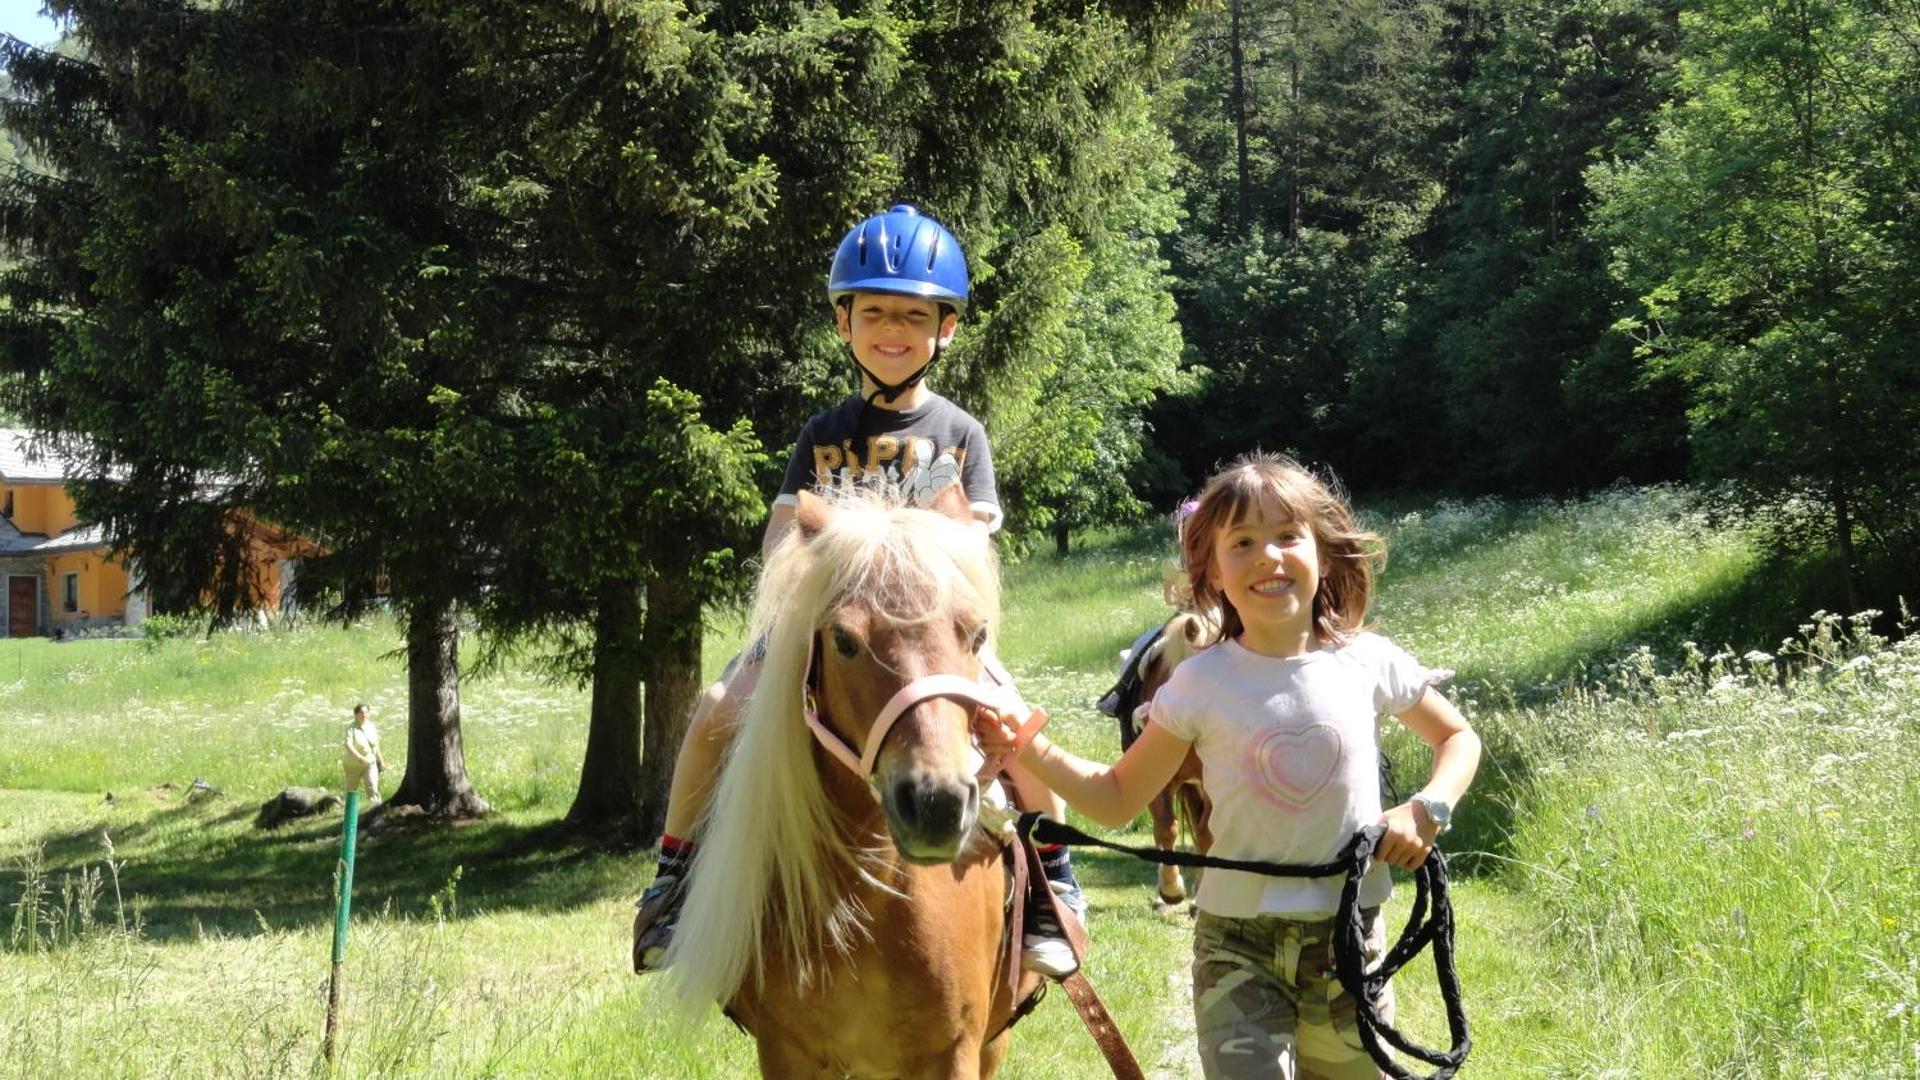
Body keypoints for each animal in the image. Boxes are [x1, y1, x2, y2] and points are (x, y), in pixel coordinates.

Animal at [667, 484, 1040, 1079]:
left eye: (978, 634)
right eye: (844, 640)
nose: (936, 803)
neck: (869, 895)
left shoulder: (957, 1050)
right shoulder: (785, 1053)